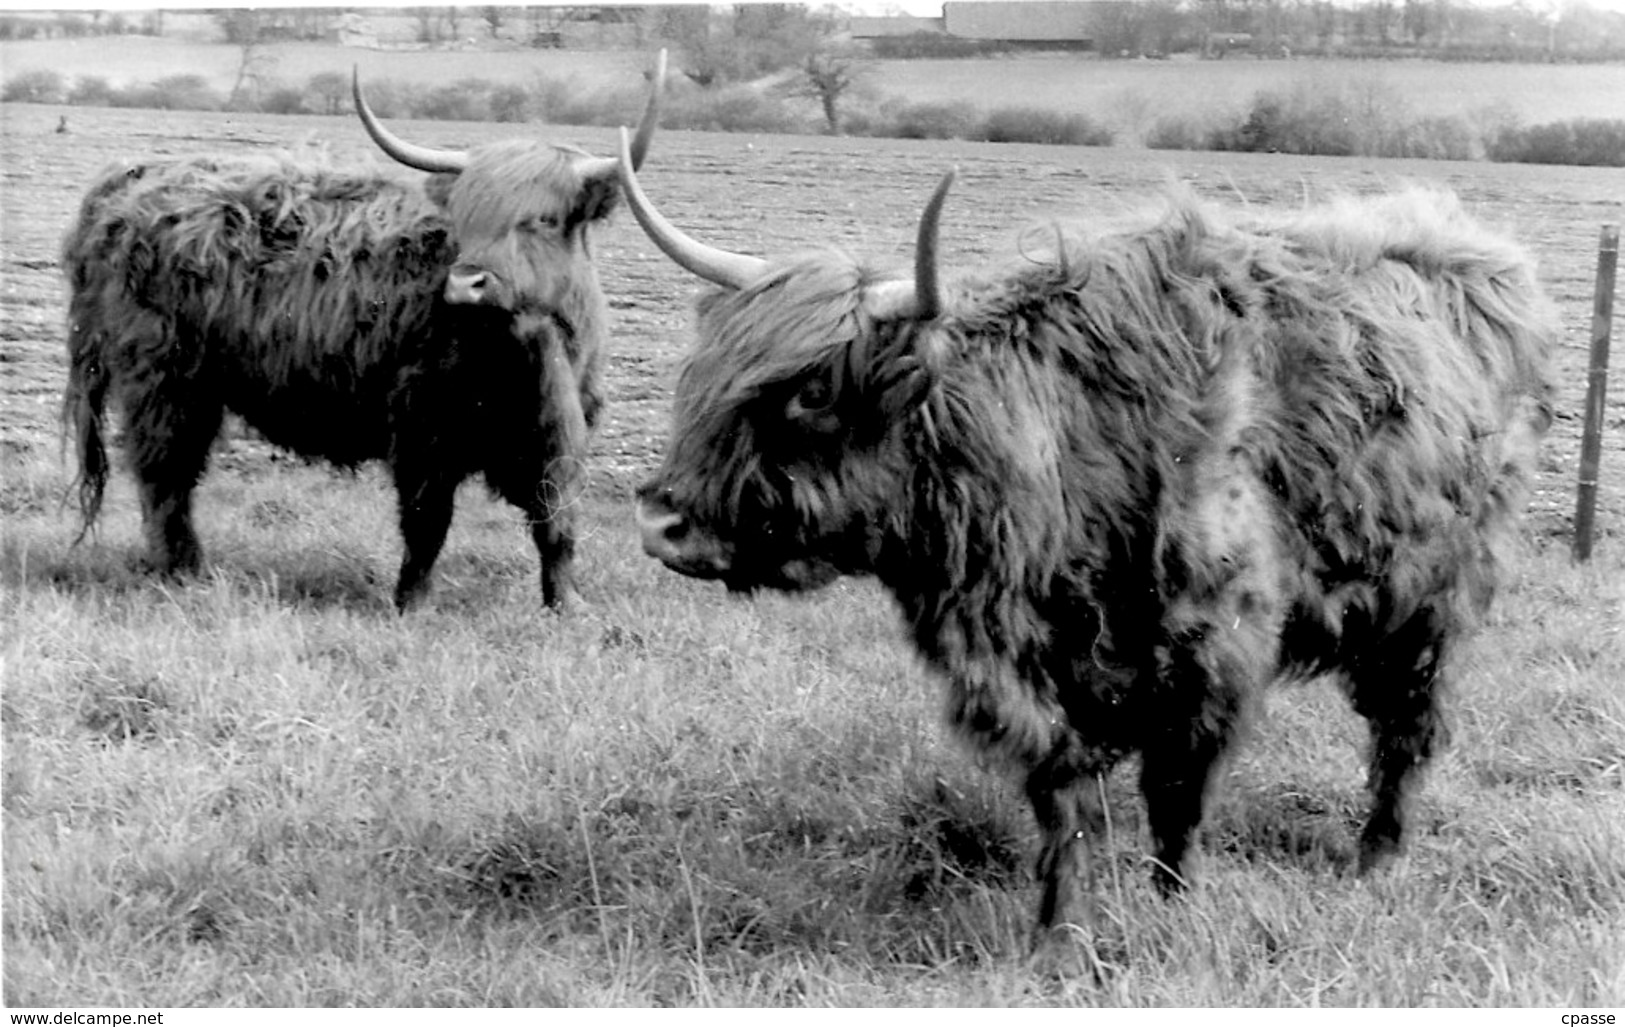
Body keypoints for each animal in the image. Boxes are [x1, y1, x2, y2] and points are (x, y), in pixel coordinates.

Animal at [58, 52, 666, 611]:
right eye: (466, 218)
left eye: (542, 219)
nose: (466, 283)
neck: (521, 353)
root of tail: (133, 179)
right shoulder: (422, 429)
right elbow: (427, 522)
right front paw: (411, 603)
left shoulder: (562, 435)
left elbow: (556, 524)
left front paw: (566, 606)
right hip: (165, 381)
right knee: (165, 476)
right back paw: (183, 571)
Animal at [617, 140, 1547, 936]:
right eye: (700, 377)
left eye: (810, 393)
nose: (660, 520)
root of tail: (1478, 256)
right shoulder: (1036, 674)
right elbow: (1067, 806)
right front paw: (1060, 936)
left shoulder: (1210, 648)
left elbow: (1176, 798)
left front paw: (1170, 907)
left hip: (1431, 603)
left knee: (1406, 730)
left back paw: (1375, 859)